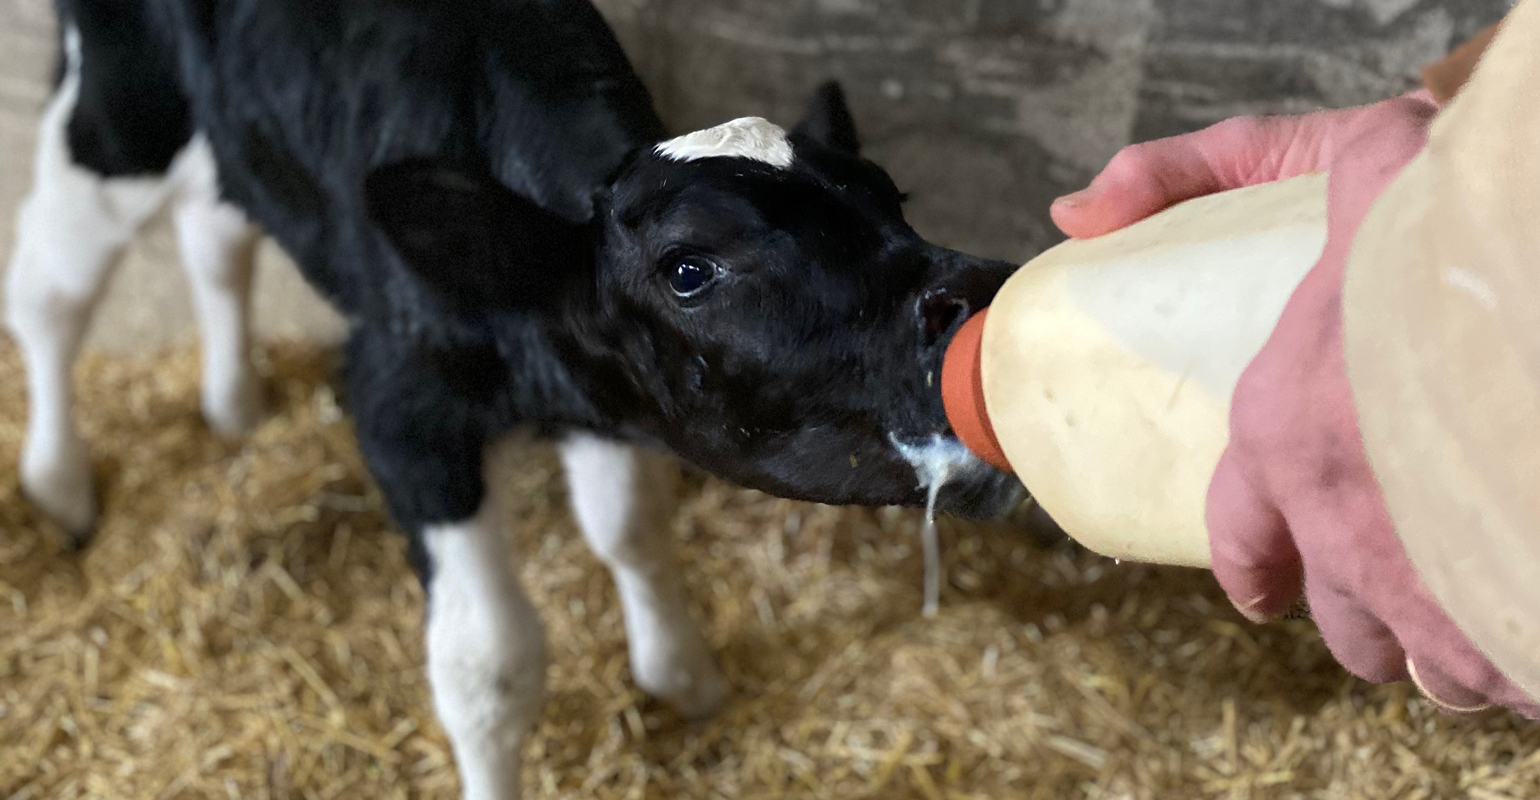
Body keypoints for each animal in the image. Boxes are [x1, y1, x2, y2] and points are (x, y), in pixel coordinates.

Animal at [6, 0, 1022, 795]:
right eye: (688, 270)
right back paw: (61, 486)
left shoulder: (603, 388)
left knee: (213, 230)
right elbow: (489, 666)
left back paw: (233, 403)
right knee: (53, 288)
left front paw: (680, 672)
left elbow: (630, 529)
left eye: (893, 198)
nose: (986, 293)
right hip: (120, 105)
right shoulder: (402, 412)